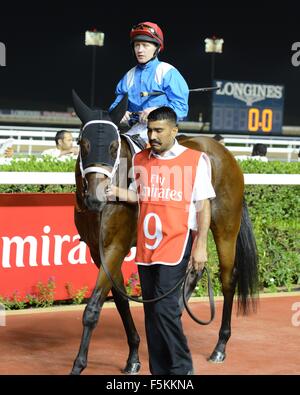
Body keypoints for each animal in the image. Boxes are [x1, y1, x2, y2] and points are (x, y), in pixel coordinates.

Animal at [69, 91, 258, 376]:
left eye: (113, 146)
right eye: (83, 143)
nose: (95, 197)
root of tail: (225, 153)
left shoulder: (115, 247)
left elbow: (93, 307)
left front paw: (79, 364)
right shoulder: (96, 250)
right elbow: (120, 300)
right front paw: (133, 356)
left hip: (225, 228)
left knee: (228, 278)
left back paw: (220, 346)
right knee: (195, 269)